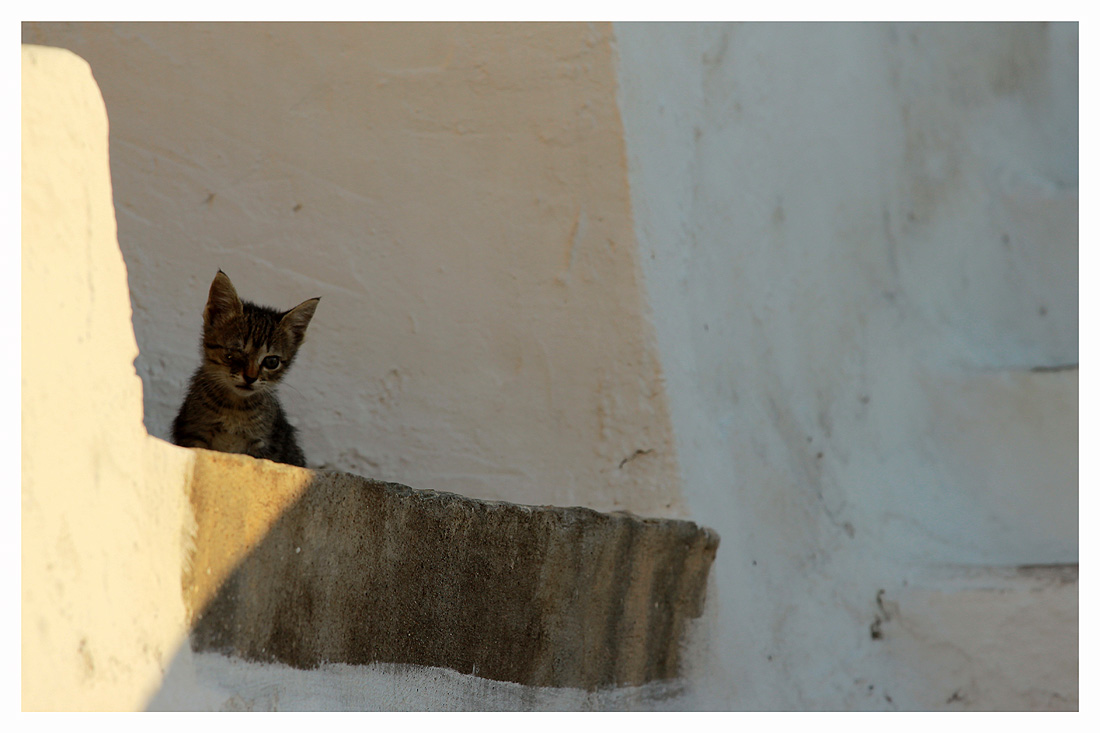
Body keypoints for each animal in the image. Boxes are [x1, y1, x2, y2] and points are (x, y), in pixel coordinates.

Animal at [169, 270, 321, 464]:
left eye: (271, 362)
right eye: (235, 352)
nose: (250, 377)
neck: (234, 407)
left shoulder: (266, 445)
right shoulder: (192, 432)